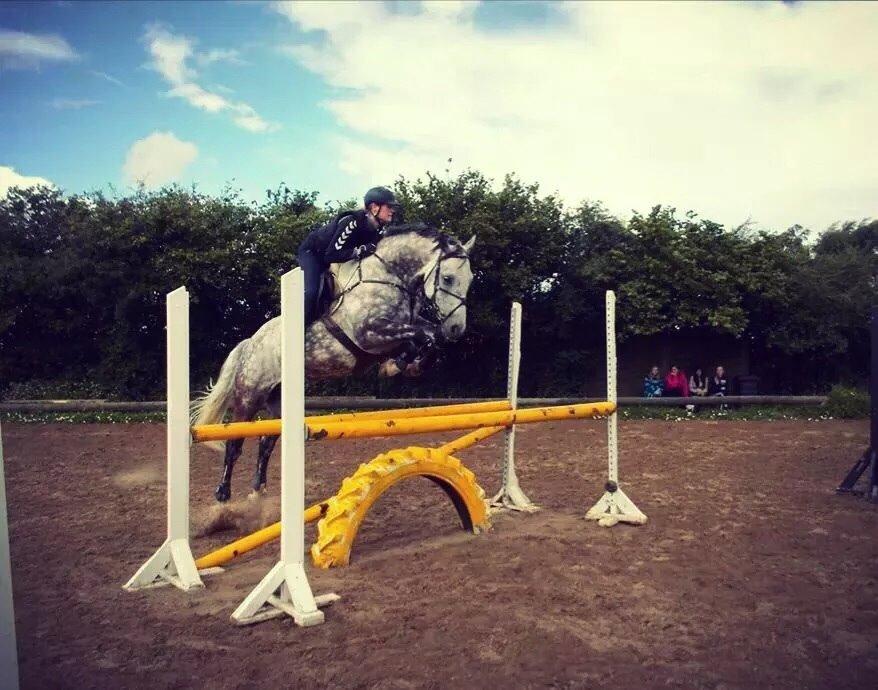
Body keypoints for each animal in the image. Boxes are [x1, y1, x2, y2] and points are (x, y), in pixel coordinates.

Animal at [191, 224, 476, 502]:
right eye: (448, 278)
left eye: (471, 279)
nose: (456, 329)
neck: (388, 276)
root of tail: (250, 342)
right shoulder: (369, 333)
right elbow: (422, 335)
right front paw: (400, 363)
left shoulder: (395, 332)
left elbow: (427, 337)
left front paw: (403, 364)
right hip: (250, 395)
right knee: (234, 442)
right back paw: (223, 494)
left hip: (277, 402)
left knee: (266, 442)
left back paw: (258, 492)